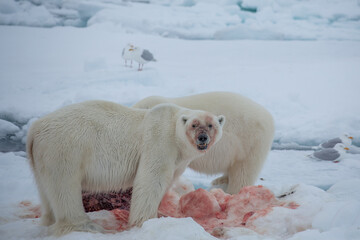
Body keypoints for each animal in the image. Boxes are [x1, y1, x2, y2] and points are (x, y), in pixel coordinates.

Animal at [26, 100, 224, 235]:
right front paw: (145, 221)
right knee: (65, 186)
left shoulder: (178, 160)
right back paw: (85, 225)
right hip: (66, 148)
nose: (202, 138)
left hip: (43, 157)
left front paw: (160, 213)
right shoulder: (160, 141)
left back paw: (49, 220)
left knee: (46, 189)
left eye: (211, 125)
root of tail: (34, 129)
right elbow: (151, 179)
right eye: (194, 124)